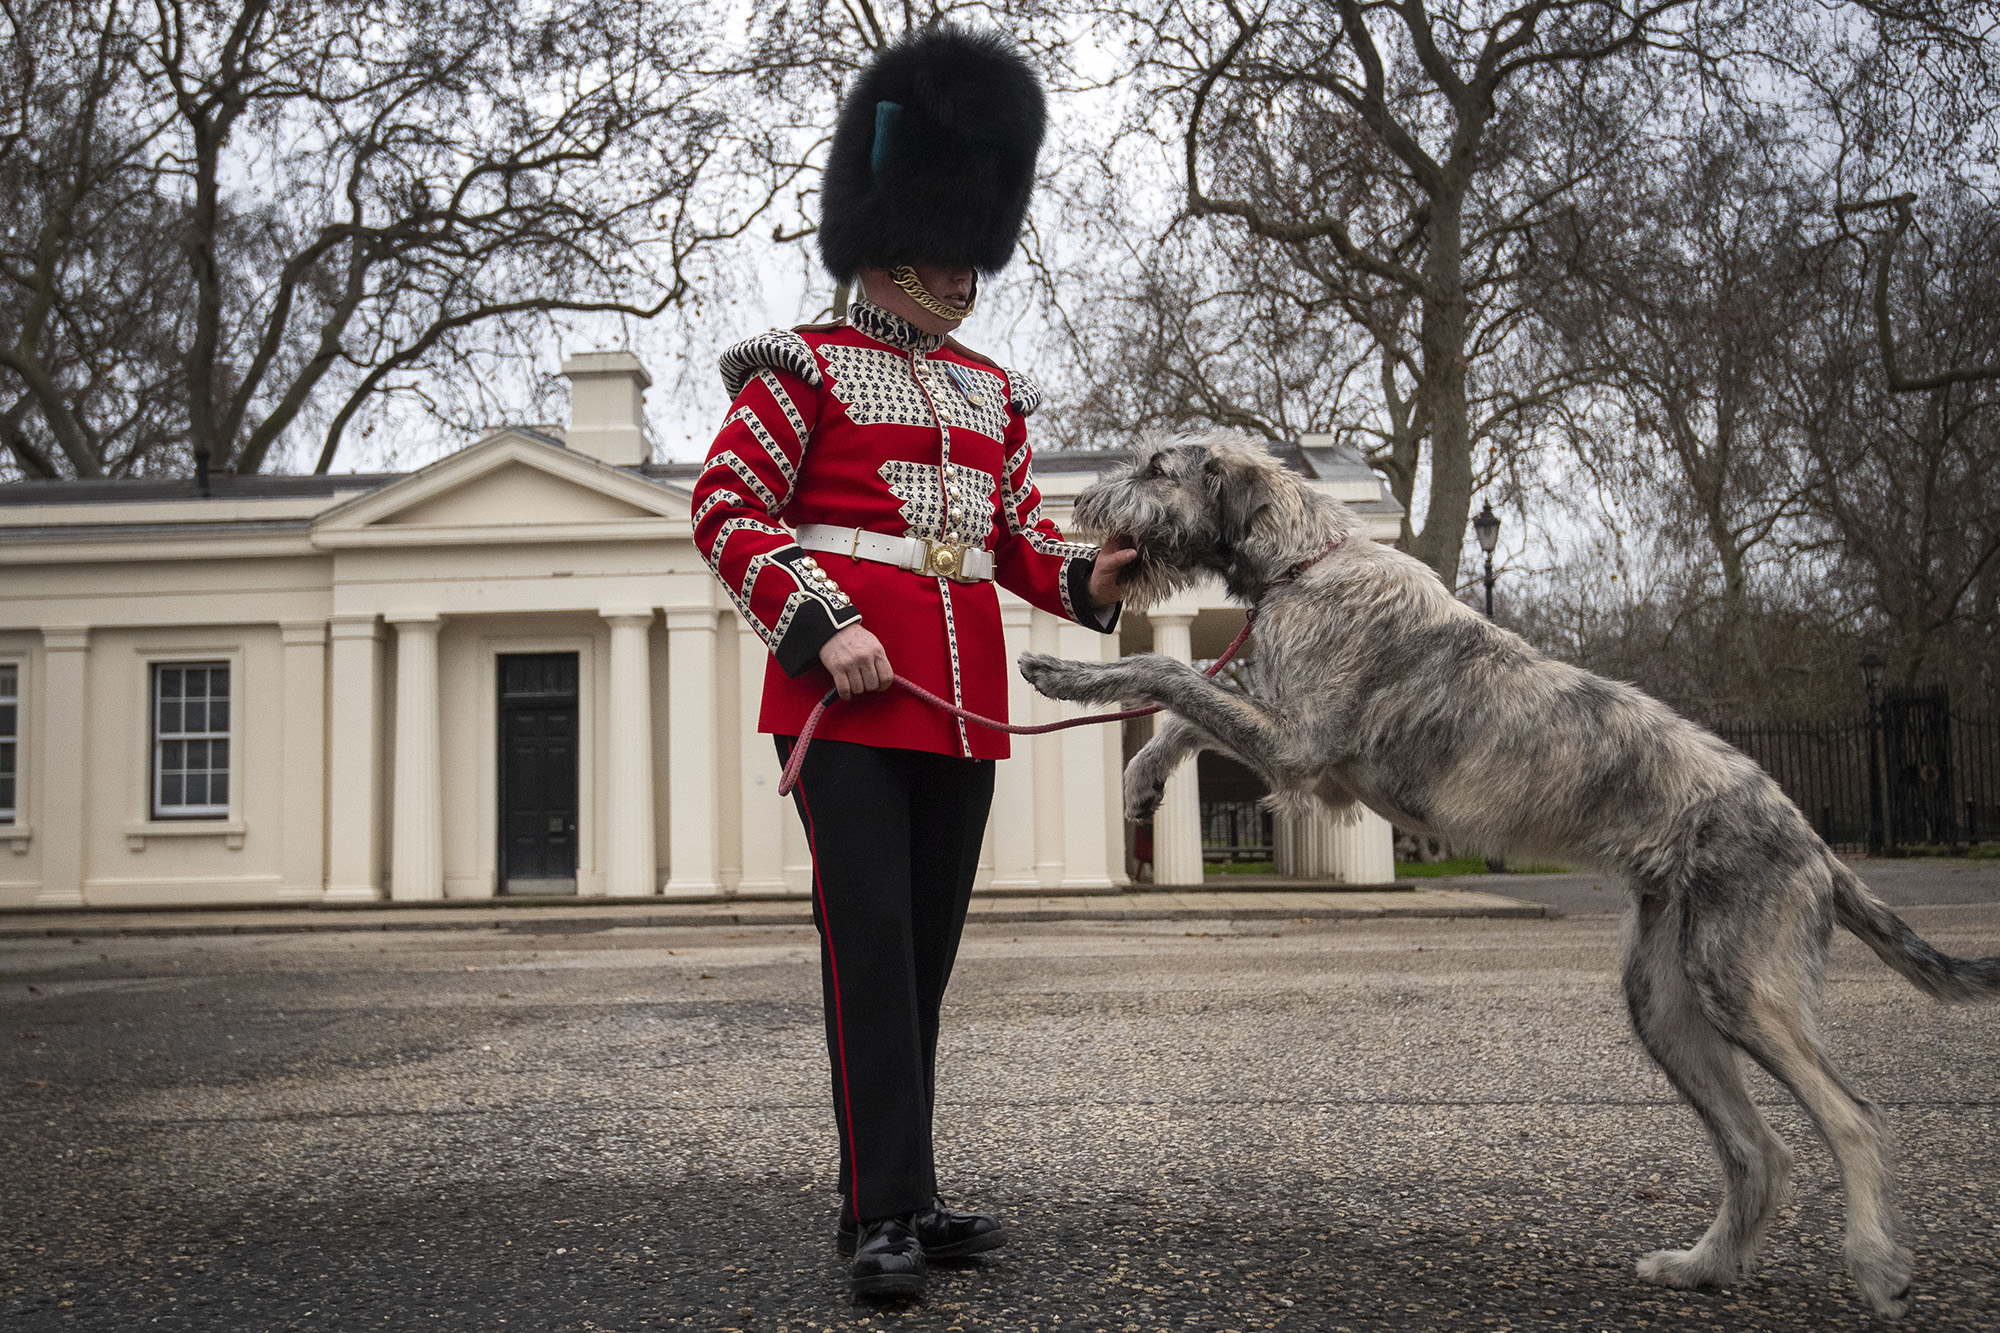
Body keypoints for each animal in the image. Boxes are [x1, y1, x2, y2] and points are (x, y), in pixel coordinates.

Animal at [1024, 430, 2000, 1312]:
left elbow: (1168, 667)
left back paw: (1874, 1263)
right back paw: (1703, 1265)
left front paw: (1069, 674)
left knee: (1851, 1115)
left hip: (1743, 983)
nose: (1081, 504)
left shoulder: (1299, 744)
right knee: (1759, 1147)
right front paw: (1143, 777)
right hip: (1665, 998)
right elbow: (1188, 705)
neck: (1307, 561)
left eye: (1157, 467)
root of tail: (1816, 845)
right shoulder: (1300, 748)